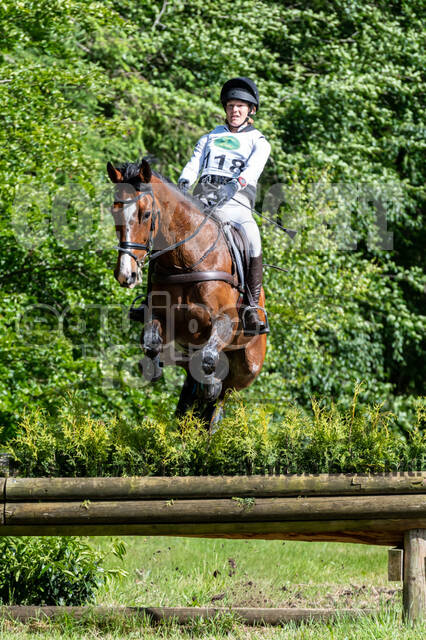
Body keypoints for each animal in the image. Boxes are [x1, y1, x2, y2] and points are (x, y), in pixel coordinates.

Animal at [107, 159, 267, 427]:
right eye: (114, 211)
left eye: (146, 214)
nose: (125, 274)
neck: (185, 260)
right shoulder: (161, 316)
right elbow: (151, 344)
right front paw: (154, 368)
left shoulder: (226, 320)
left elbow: (208, 358)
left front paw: (210, 383)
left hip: (247, 367)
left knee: (220, 398)